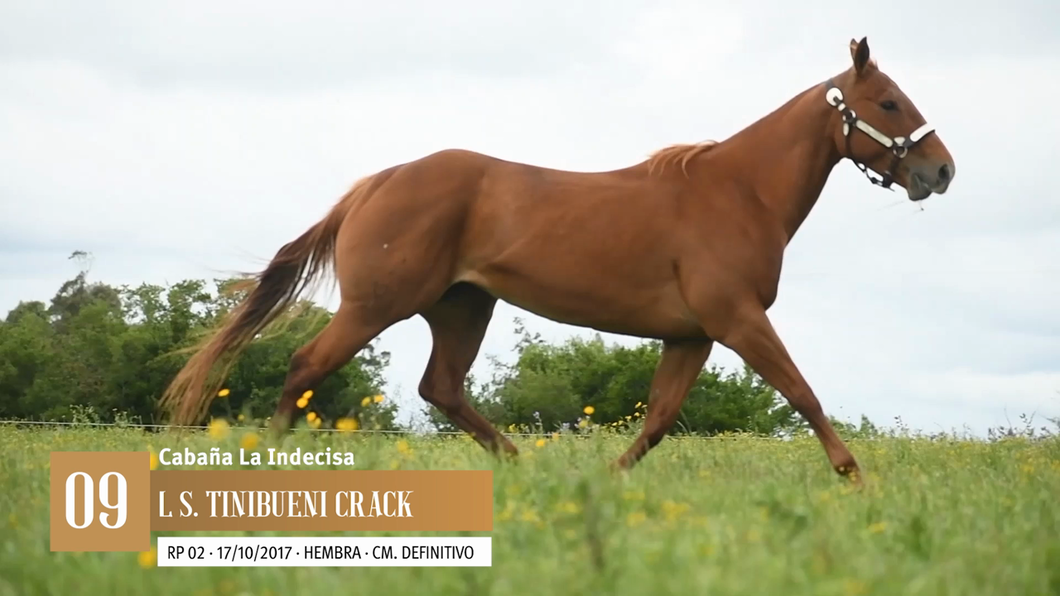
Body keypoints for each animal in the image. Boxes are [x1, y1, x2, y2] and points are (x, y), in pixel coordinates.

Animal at [156, 37, 953, 479]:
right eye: (888, 102)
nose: (940, 171)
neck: (737, 192)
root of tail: (376, 183)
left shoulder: (691, 335)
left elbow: (658, 420)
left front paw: (605, 480)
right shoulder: (737, 320)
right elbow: (803, 392)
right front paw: (853, 476)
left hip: (463, 307)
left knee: (441, 388)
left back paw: (520, 464)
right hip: (378, 305)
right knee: (305, 369)